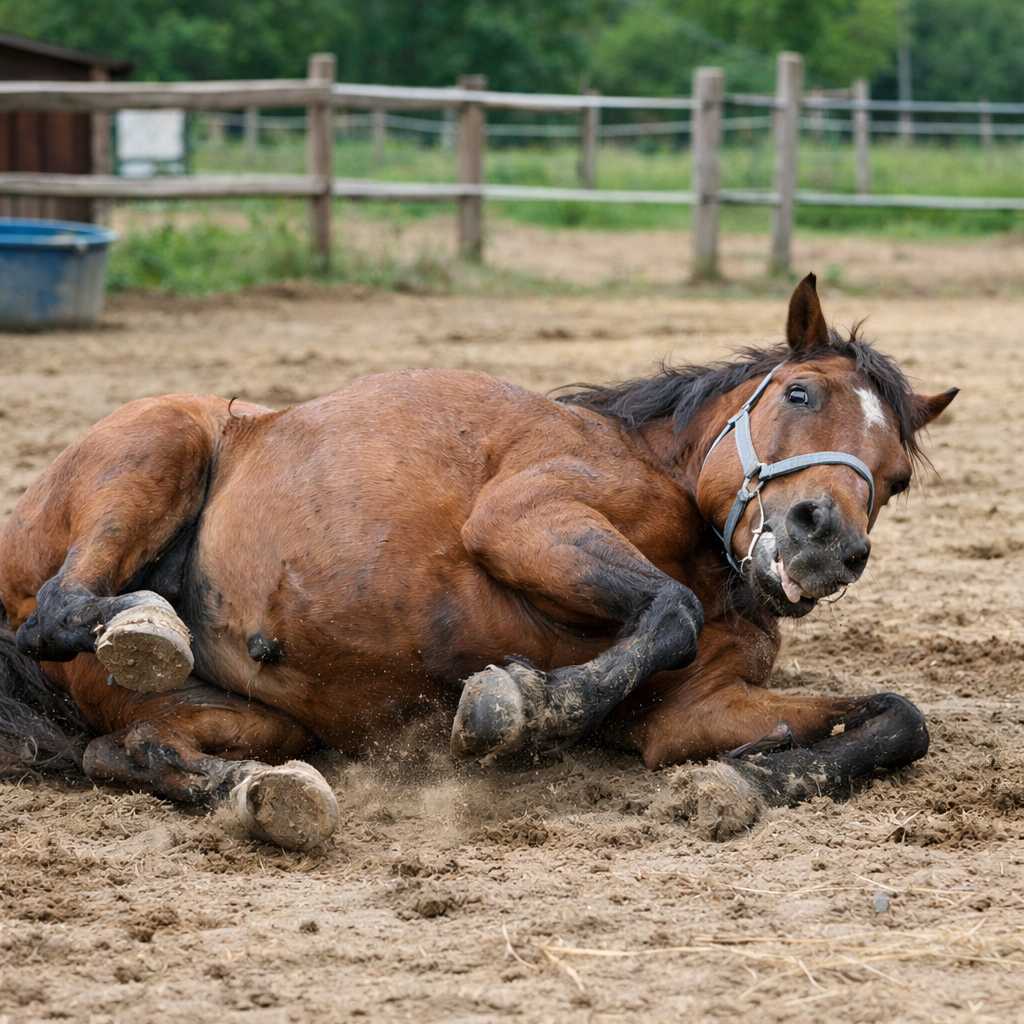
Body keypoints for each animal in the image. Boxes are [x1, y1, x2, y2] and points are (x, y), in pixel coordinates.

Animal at [0, 275, 957, 848]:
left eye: (898, 477)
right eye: (800, 392)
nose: (826, 543)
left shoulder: (692, 711)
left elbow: (900, 719)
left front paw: (745, 782)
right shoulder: (524, 519)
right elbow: (666, 612)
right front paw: (520, 705)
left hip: (257, 717)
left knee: (133, 749)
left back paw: (265, 793)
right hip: (158, 445)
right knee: (61, 613)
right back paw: (144, 627)